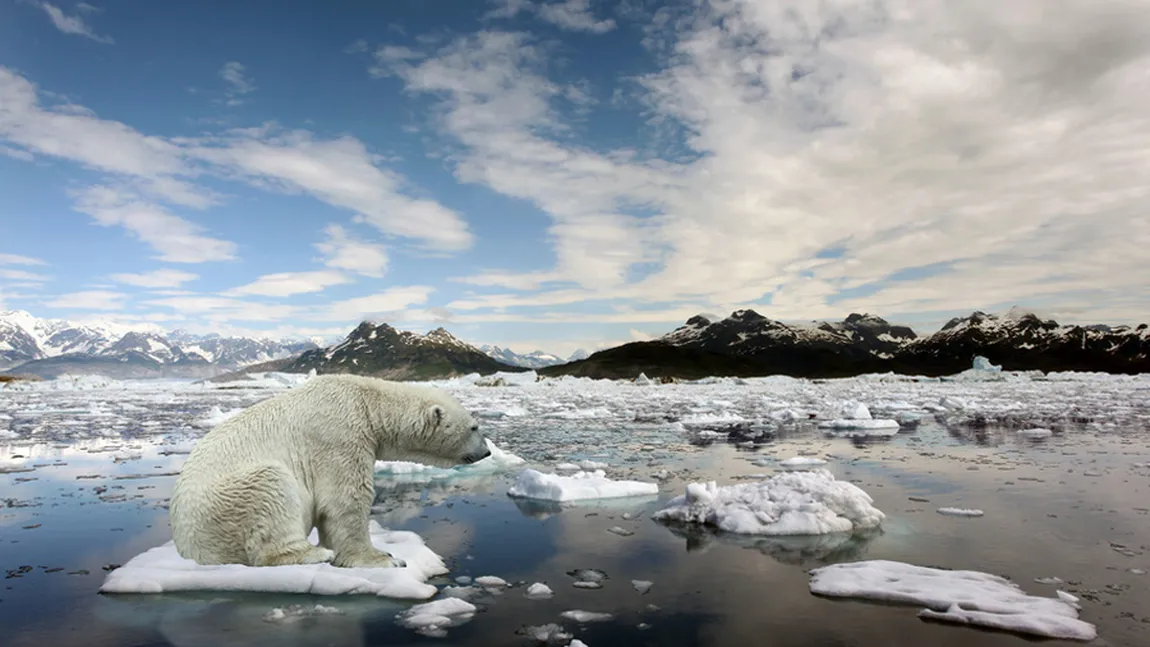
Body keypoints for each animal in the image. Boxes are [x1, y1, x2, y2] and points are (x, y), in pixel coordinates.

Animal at [167, 374, 487, 567]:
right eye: (475, 427)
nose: (486, 452)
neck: (367, 402)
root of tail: (187, 550)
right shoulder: (339, 437)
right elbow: (346, 500)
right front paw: (385, 558)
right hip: (225, 505)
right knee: (271, 488)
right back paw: (313, 553)